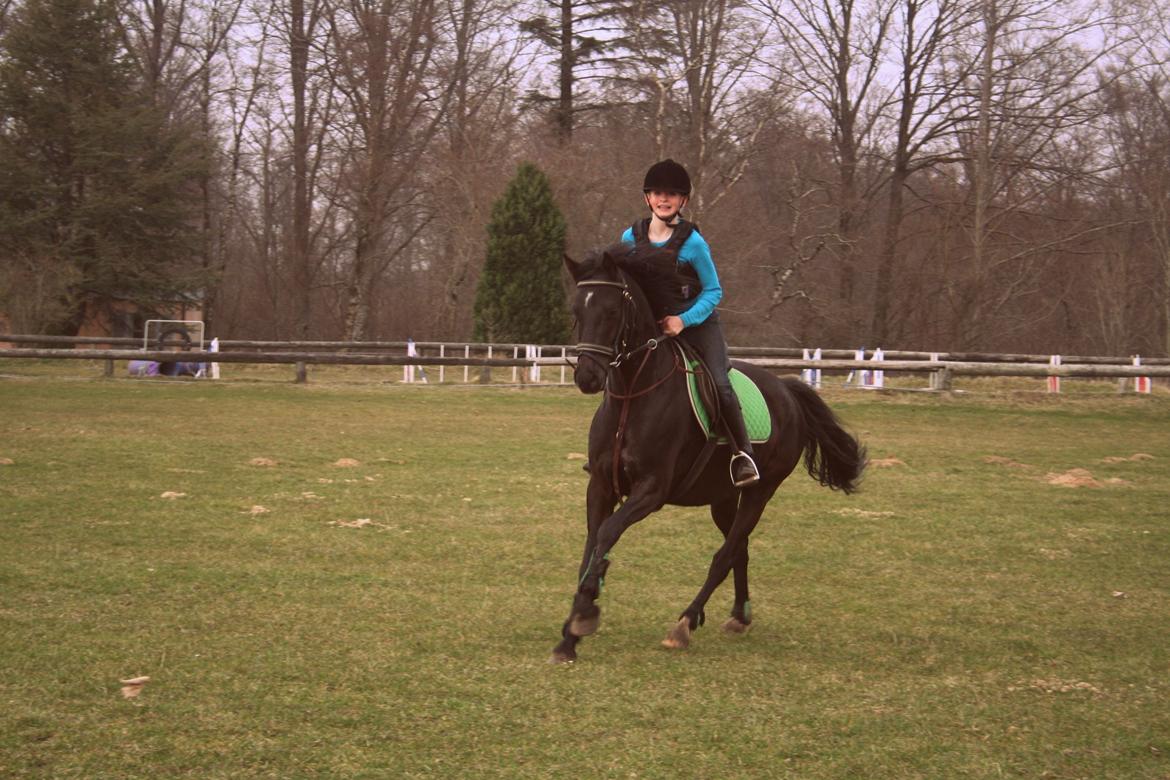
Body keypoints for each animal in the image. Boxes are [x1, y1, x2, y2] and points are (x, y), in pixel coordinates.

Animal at [549, 246, 870, 664]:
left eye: (612, 311)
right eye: (577, 310)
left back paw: (685, 623)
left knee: (725, 554)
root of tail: (786, 390)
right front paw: (570, 633)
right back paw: (739, 616)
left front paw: (585, 612)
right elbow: (591, 546)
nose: (587, 377)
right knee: (739, 550)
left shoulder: (651, 491)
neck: (632, 394)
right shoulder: (601, 486)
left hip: (759, 492)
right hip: (723, 497)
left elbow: (606, 534)